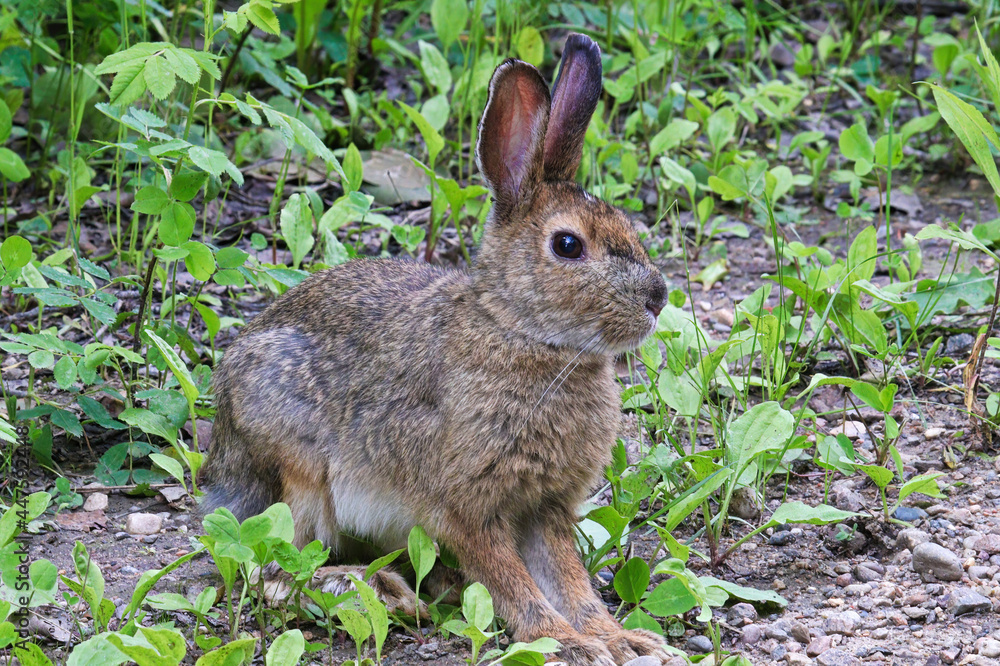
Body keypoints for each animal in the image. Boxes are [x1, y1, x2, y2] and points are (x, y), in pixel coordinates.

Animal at [200, 33, 670, 666]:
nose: (658, 298)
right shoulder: (465, 507)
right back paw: (380, 592)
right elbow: (512, 582)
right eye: (568, 245)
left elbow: (569, 579)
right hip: (295, 468)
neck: (521, 332)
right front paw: (567, 645)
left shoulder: (544, 507)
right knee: (272, 571)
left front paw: (619, 638)